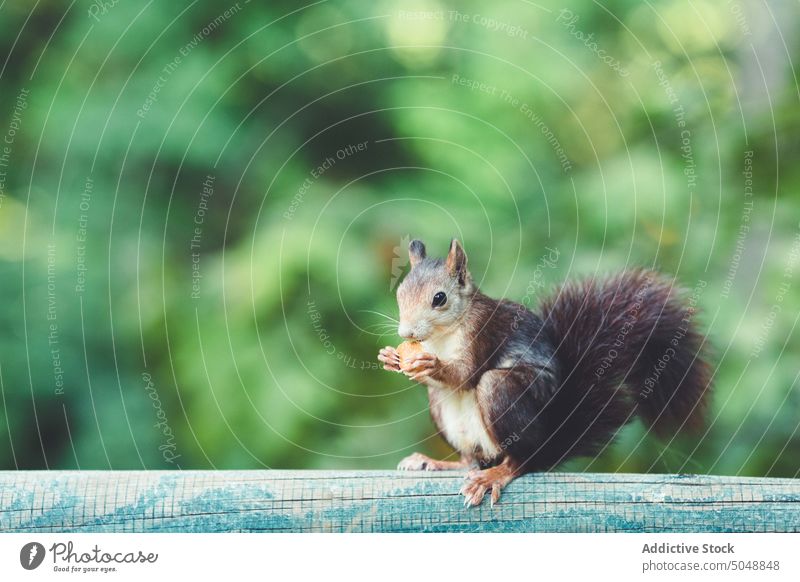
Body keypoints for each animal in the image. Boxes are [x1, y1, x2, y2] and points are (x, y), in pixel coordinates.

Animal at [378, 240, 708, 508]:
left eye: (439, 298)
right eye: (400, 293)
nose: (406, 333)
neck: (441, 336)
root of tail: (548, 442)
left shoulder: (483, 331)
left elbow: (465, 375)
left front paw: (432, 365)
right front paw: (390, 357)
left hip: (503, 395)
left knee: (519, 459)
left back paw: (496, 474)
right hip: (442, 408)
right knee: (470, 460)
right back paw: (434, 462)